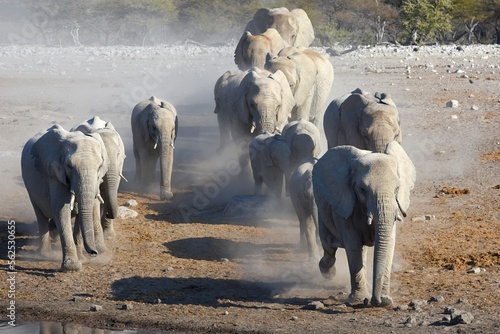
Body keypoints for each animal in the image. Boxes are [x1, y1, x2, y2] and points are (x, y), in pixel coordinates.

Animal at [21, 124, 109, 272]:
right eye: (69, 166)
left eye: (99, 167)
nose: (94, 252)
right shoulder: (55, 175)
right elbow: (61, 211)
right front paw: (72, 267)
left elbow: (79, 211)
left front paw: (81, 259)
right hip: (30, 187)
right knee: (40, 214)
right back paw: (45, 255)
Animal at [312, 142, 418, 308]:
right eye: (362, 190)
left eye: (397, 189)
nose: (376, 301)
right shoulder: (345, 202)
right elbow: (353, 244)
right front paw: (359, 299)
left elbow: (389, 244)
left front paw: (386, 299)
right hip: (322, 204)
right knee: (329, 245)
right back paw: (327, 272)